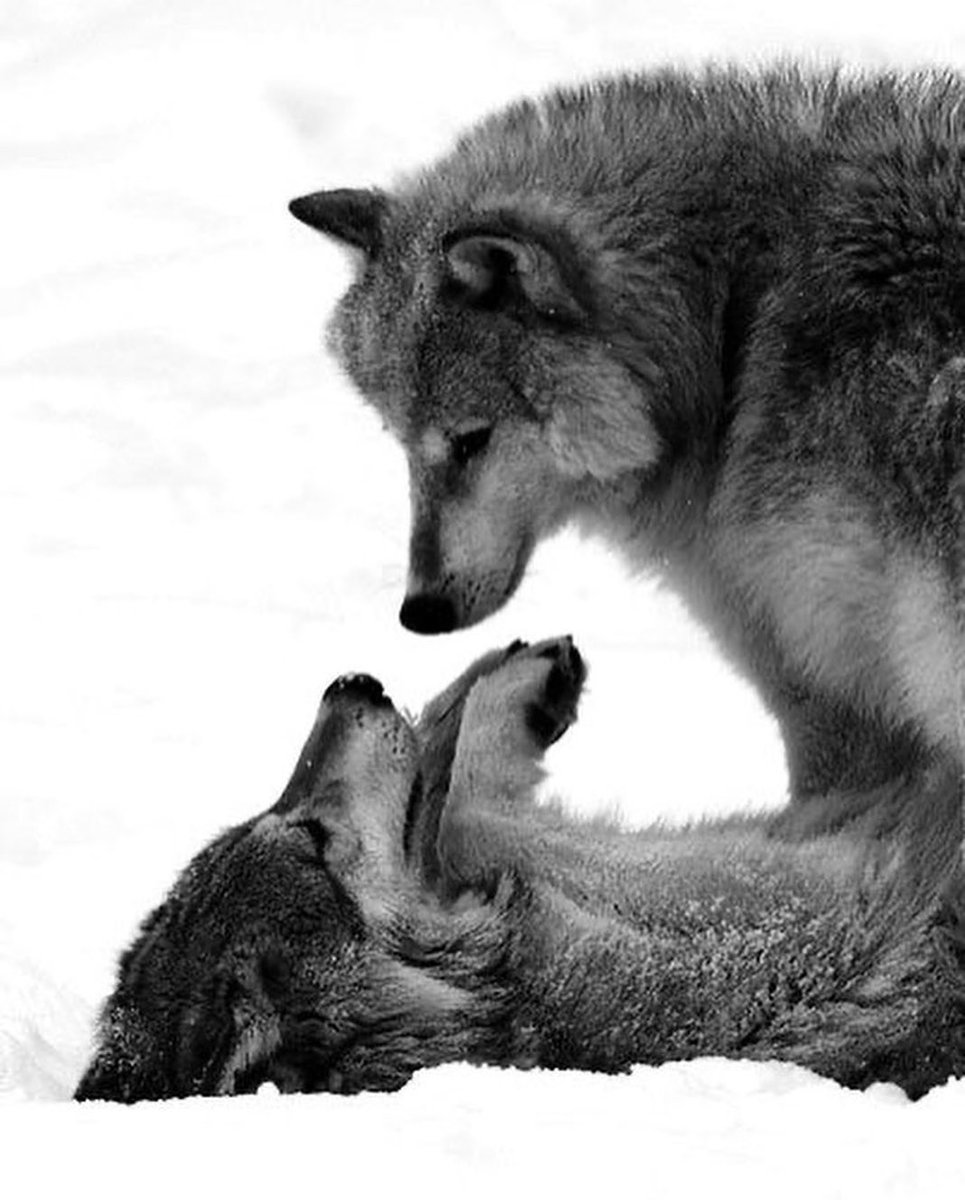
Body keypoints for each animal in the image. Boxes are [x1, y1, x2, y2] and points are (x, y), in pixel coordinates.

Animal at [75, 637, 965, 1102]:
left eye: (292, 815)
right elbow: (470, 793)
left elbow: (452, 771)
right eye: (315, 837)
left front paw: (493, 680)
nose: (348, 682)